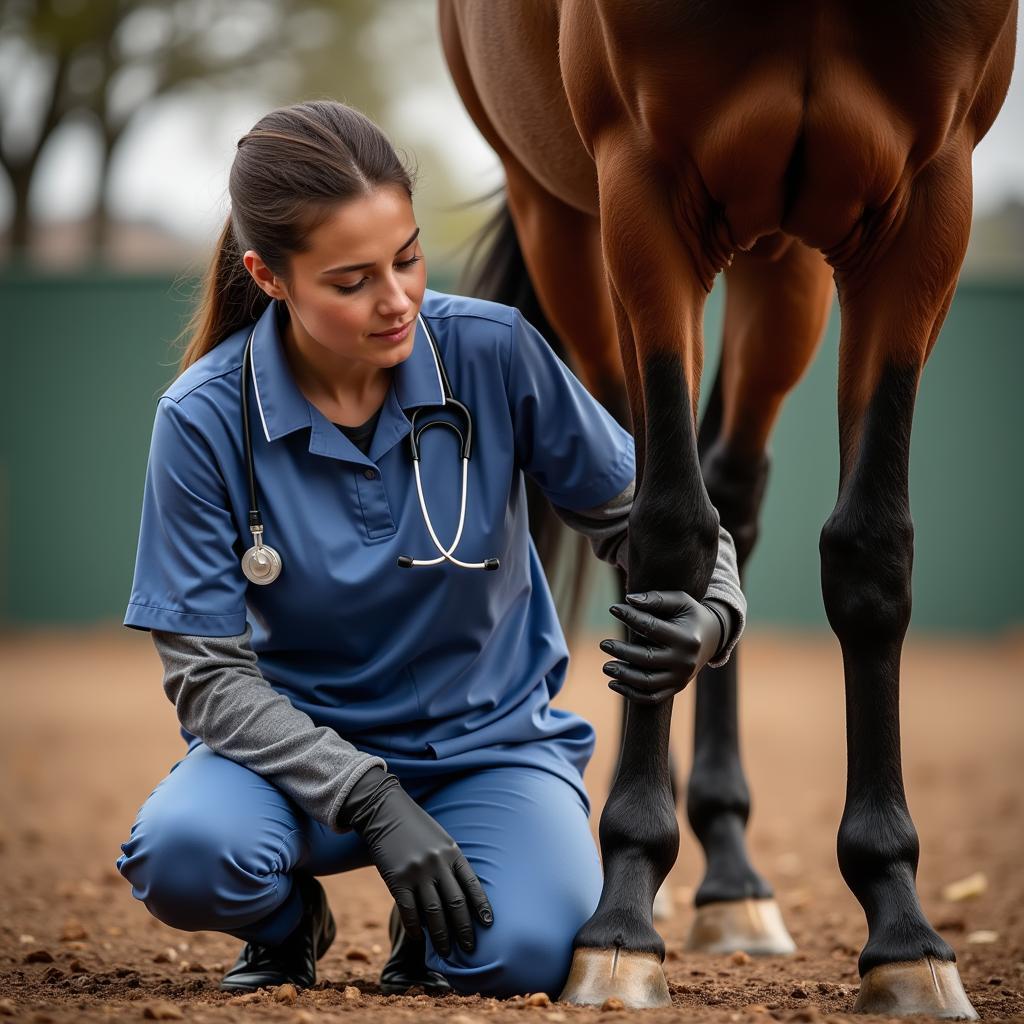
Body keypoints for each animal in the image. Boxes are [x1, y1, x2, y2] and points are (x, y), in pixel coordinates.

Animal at [438, 0, 1015, 1015]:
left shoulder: (925, 206)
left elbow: (872, 553)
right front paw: (623, 918)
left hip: (783, 265)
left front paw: (904, 930)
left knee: (733, 501)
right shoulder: (643, 190)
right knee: (639, 497)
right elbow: (666, 531)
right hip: (566, 225)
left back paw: (733, 877)